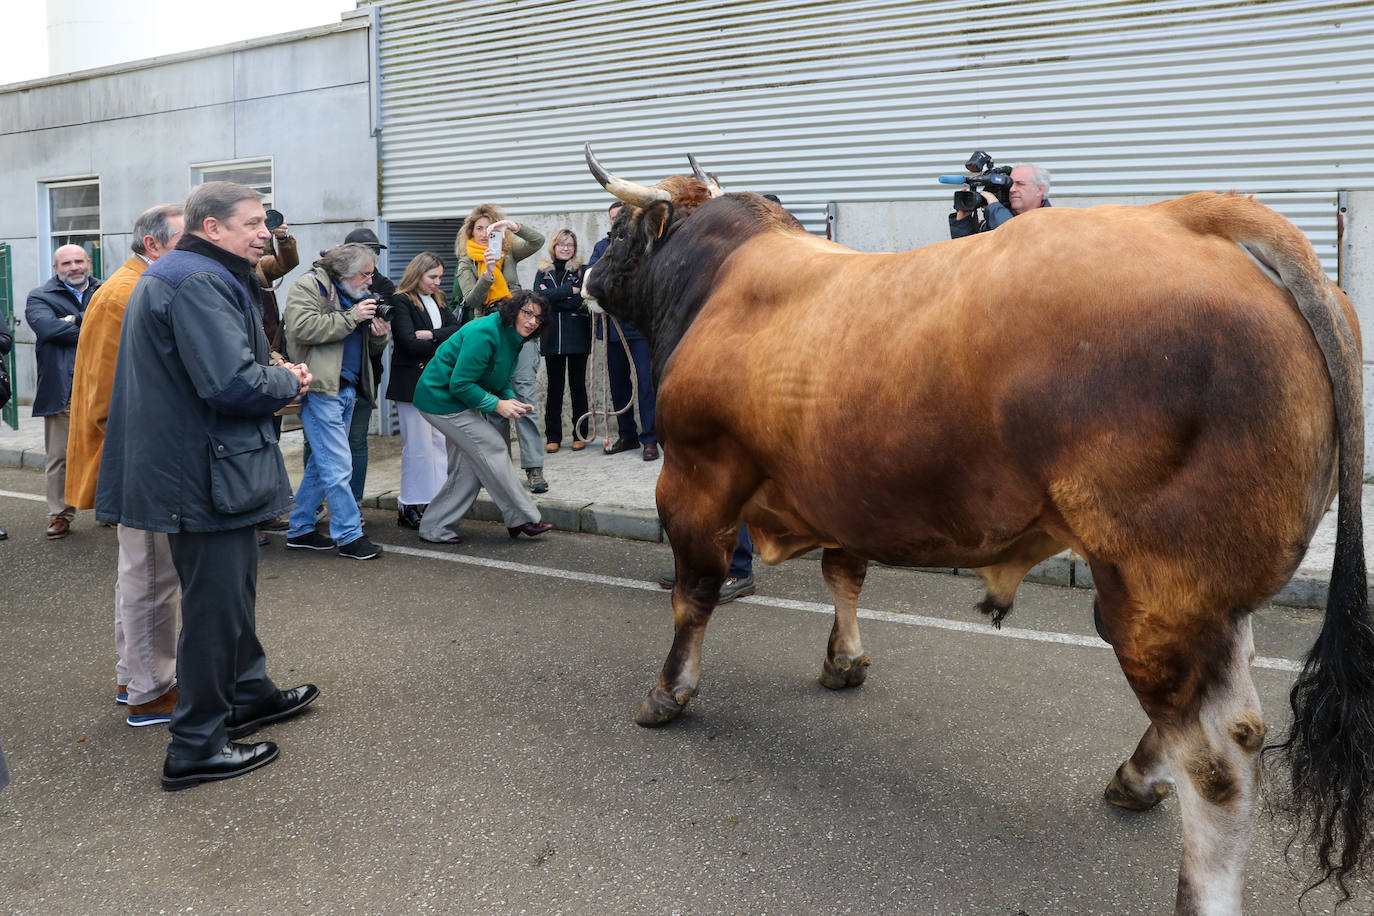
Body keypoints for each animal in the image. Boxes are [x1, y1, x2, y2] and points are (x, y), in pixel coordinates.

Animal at [582, 143, 1374, 911]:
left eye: (616, 232)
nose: (584, 275)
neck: (716, 284)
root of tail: (1191, 215)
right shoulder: (837, 487)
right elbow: (844, 573)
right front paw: (844, 662)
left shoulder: (694, 480)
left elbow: (694, 594)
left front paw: (669, 692)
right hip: (1203, 591)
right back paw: (1134, 777)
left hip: (1156, 586)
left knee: (1219, 760)